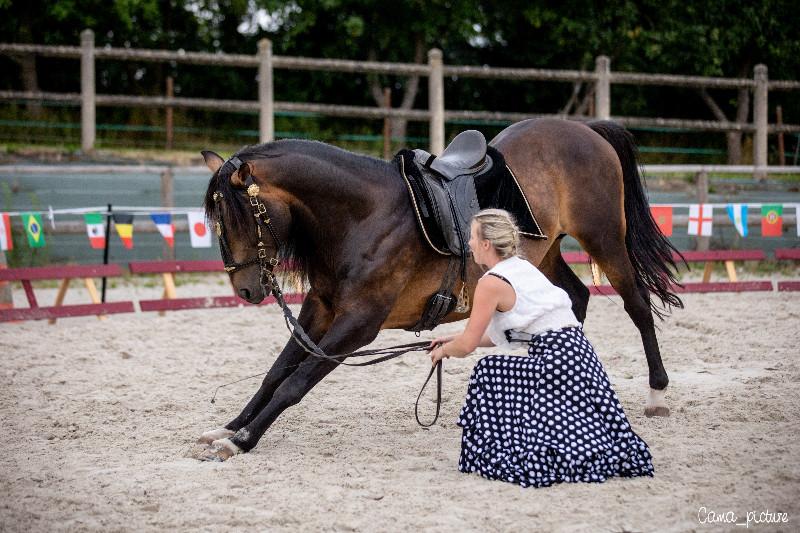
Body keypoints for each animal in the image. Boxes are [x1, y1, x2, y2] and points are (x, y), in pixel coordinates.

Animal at [194, 118, 680, 460]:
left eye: (239, 216)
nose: (246, 289)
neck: (363, 215)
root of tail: (585, 129)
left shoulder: (359, 323)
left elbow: (295, 382)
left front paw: (243, 440)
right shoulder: (321, 308)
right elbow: (277, 371)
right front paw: (230, 426)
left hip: (605, 239)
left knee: (637, 305)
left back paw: (657, 393)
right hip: (543, 255)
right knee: (575, 298)